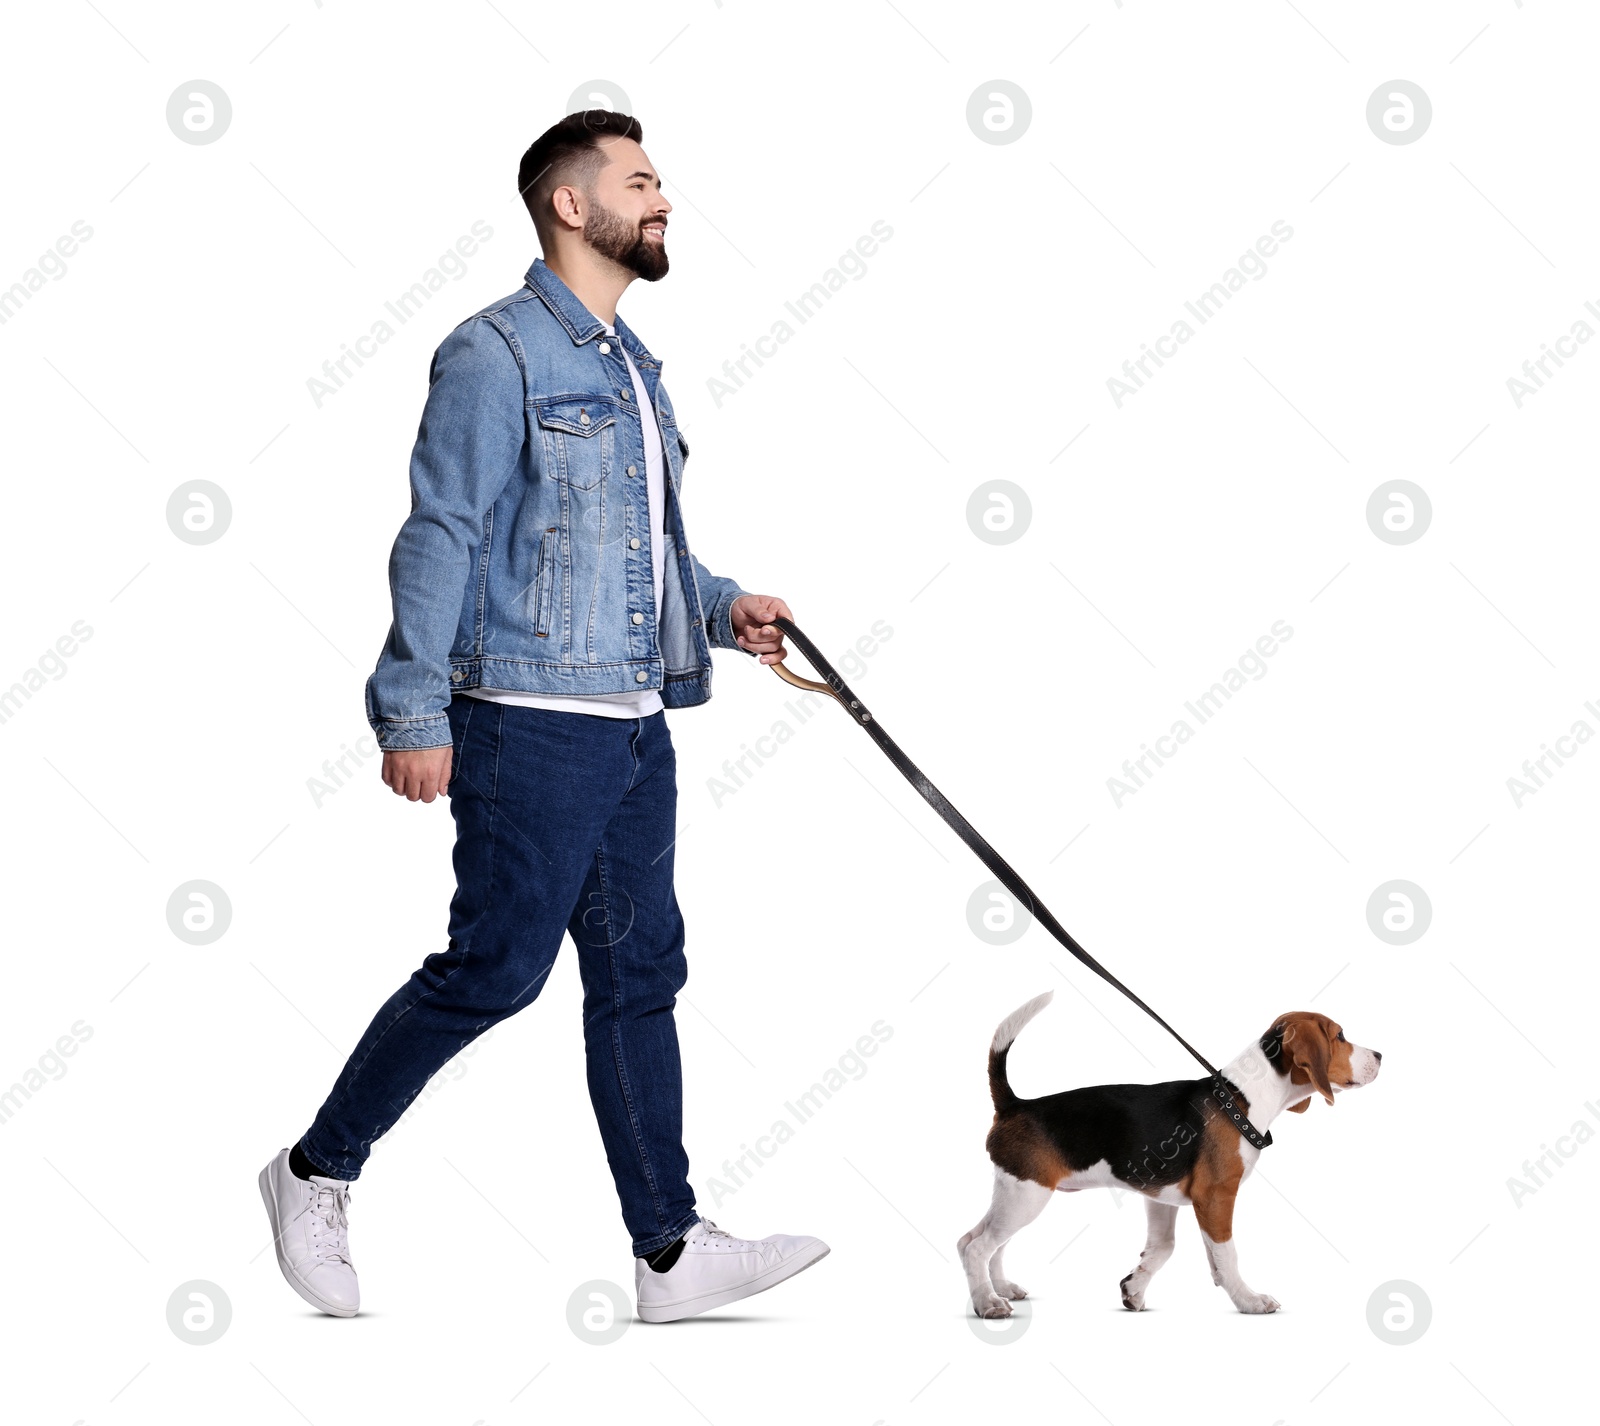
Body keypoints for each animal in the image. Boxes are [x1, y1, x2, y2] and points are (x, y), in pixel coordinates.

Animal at [953, 992, 1382, 1318]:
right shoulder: (1216, 1196)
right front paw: (1248, 1299)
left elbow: (1164, 1248)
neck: (1241, 1097)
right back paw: (988, 1303)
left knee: (976, 1241)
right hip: (1027, 1195)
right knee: (977, 1247)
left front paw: (1134, 1289)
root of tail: (1015, 1105)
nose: (1380, 1055)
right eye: (1340, 1035)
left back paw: (1001, 1288)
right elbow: (1227, 1255)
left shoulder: (1161, 1197)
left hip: (1014, 1192)